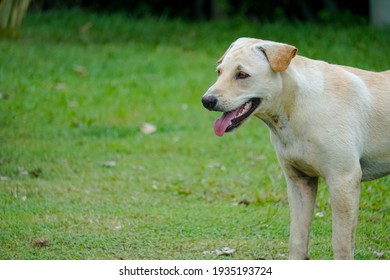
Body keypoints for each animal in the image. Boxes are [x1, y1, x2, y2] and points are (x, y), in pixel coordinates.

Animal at [203, 37, 388, 260]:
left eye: (242, 75)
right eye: (219, 72)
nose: (206, 100)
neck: (297, 107)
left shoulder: (343, 180)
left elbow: (341, 245)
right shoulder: (299, 181)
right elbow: (297, 239)